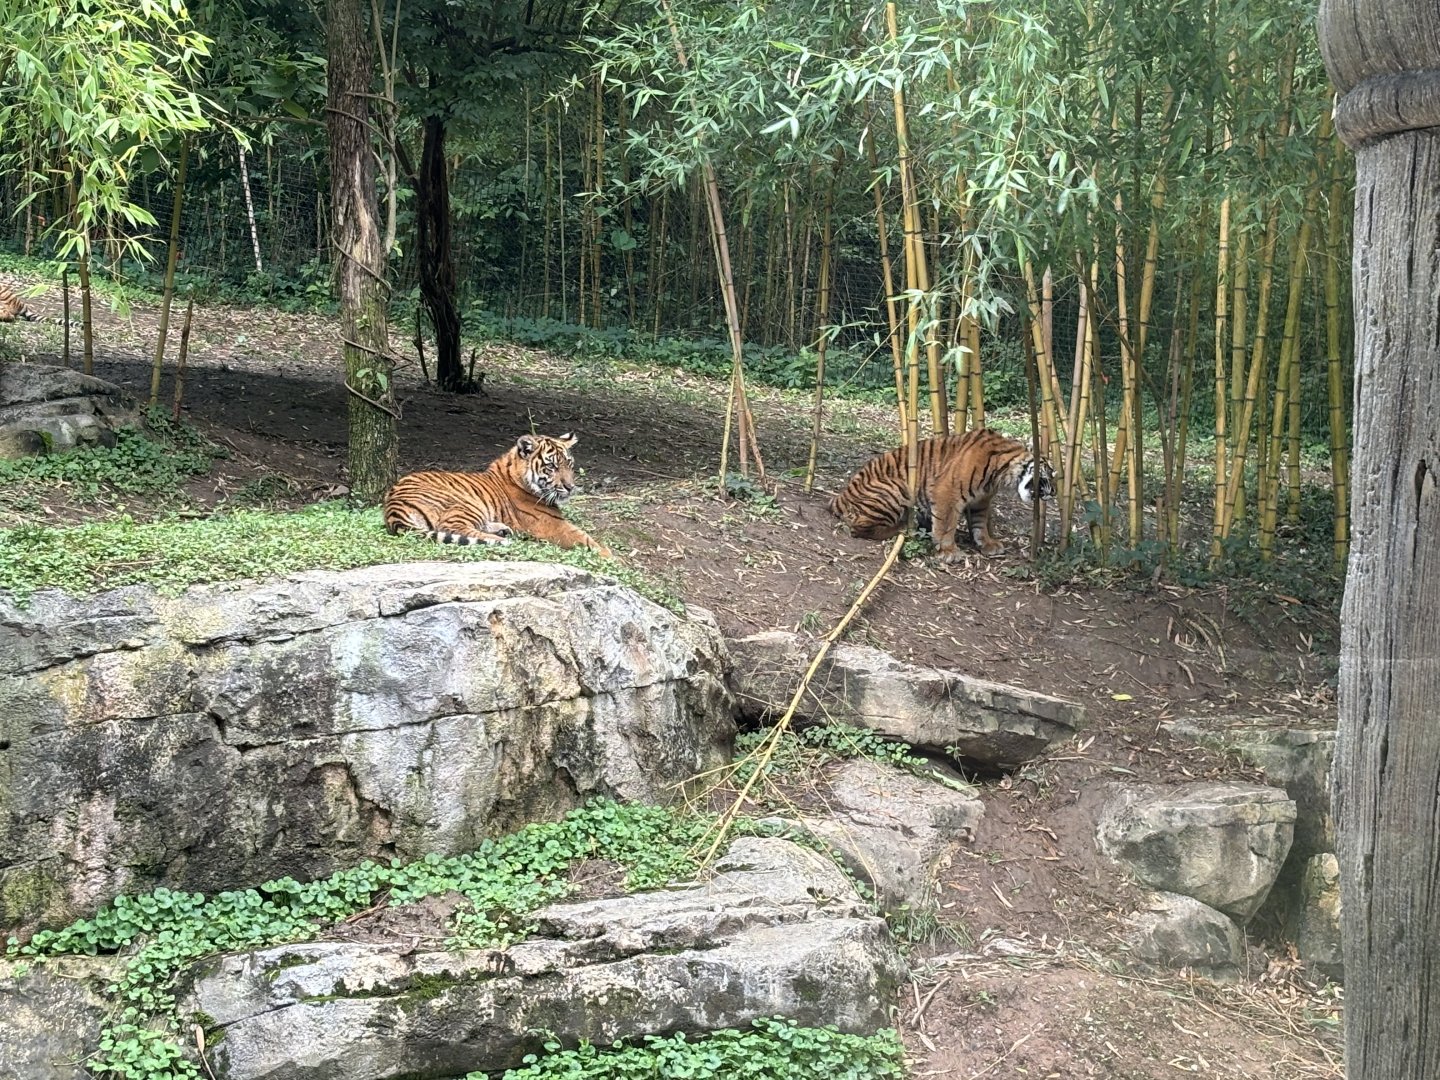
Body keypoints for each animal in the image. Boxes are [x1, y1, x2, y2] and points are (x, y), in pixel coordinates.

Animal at [383, 432, 612, 556]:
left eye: (569, 464)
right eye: (551, 467)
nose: (570, 487)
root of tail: (392, 507)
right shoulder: (552, 524)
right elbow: (585, 538)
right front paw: (611, 556)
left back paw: (502, 530)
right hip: (465, 503)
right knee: (453, 528)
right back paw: (502, 538)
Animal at [829, 428, 1055, 561]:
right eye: (1050, 474)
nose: (1052, 493)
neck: (1003, 472)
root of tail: (839, 497)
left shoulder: (981, 500)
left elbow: (980, 524)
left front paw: (988, 543)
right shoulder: (947, 491)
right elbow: (946, 524)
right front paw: (949, 552)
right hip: (898, 488)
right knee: (859, 528)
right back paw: (906, 527)